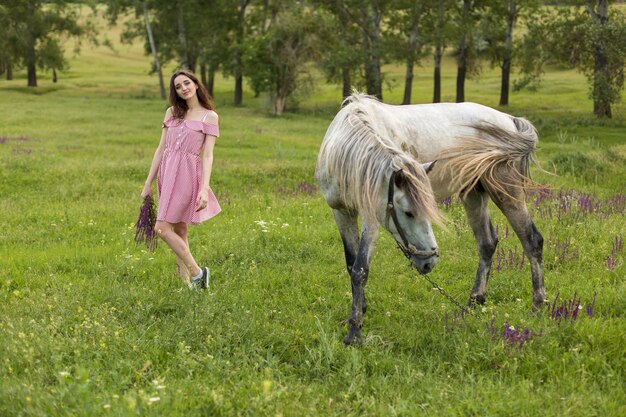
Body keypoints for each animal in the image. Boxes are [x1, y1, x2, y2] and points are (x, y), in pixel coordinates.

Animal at [314, 93, 544, 344]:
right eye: (408, 212)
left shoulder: (371, 217)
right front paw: (359, 313)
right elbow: (351, 265)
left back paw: (538, 306)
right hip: (473, 193)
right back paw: (474, 302)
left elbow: (361, 269)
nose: (429, 262)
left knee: (532, 241)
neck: (344, 154)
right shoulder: (341, 212)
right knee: (487, 243)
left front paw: (354, 332)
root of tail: (510, 120)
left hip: (506, 193)